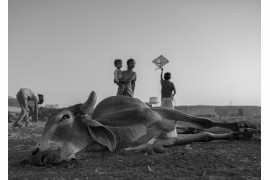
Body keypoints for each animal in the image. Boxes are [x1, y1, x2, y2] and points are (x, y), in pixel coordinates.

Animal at [29, 93, 258, 166]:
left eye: (64, 117)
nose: (36, 153)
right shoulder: (169, 140)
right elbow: (205, 135)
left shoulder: (162, 111)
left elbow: (205, 124)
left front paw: (242, 127)